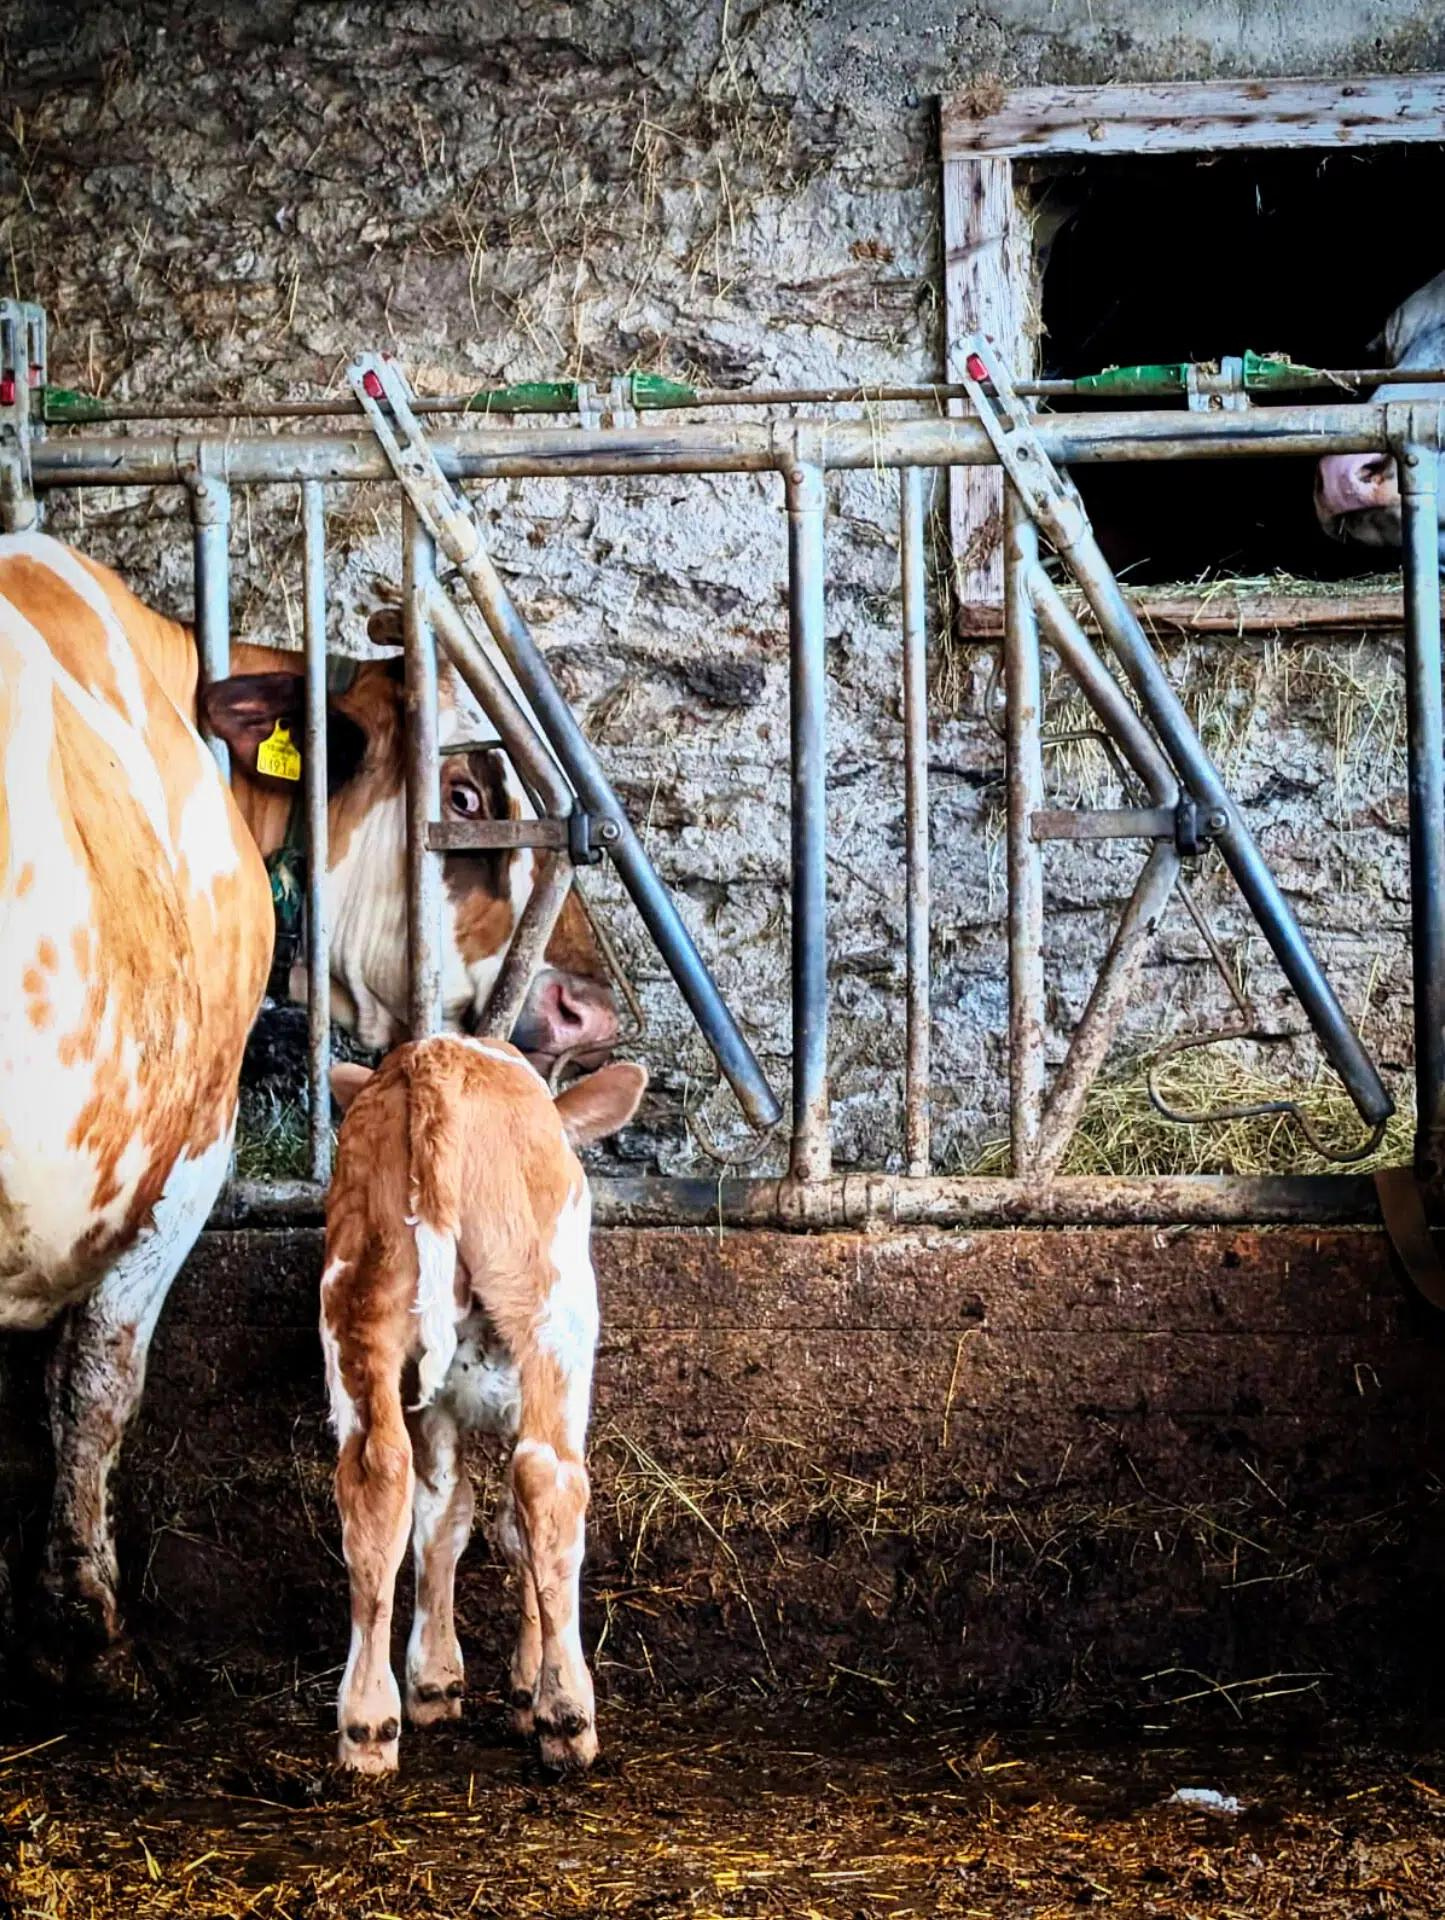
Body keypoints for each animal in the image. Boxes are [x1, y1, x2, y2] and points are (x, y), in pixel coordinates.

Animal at [324, 1036, 644, 1766]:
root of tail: (434, 1057)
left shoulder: (435, 1408)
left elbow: (445, 1514)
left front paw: (435, 1682)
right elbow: (516, 1530)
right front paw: (528, 1688)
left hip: (357, 1302)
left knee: (376, 1475)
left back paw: (368, 1726)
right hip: (552, 1311)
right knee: (548, 1479)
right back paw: (568, 1715)